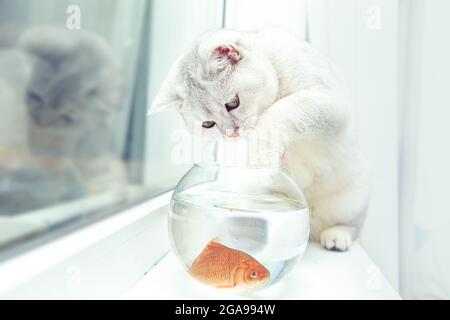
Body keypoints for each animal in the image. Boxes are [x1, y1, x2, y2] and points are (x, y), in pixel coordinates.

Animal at [151, 27, 370, 251]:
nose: (232, 133)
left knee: (353, 226)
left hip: (353, 199)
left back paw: (336, 236)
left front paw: (261, 161)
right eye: (208, 124)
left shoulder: (329, 102)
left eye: (233, 102)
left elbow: (279, 112)